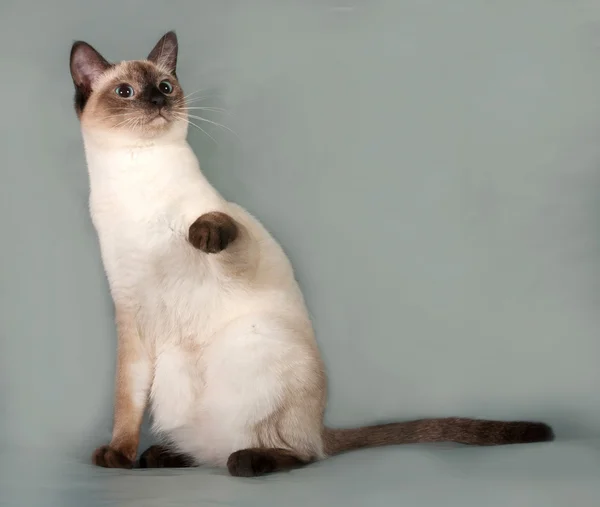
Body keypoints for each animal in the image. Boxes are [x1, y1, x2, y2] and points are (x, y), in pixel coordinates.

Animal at [69, 30, 552, 476]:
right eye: (126, 92)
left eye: (165, 86)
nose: (157, 102)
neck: (139, 171)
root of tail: (320, 426)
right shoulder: (132, 316)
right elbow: (125, 404)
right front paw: (117, 456)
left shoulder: (233, 246)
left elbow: (217, 225)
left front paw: (200, 233)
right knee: (213, 451)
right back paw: (161, 456)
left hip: (263, 345)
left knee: (298, 453)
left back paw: (248, 460)